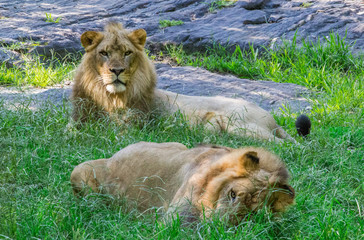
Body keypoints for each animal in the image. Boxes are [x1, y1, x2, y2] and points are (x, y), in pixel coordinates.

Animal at [70, 142, 296, 222]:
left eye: (251, 214)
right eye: (232, 194)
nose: (219, 226)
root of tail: (111, 159)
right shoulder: (174, 221)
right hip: (79, 170)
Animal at [72, 21, 310, 142]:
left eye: (127, 53)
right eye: (104, 53)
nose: (117, 70)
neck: (109, 97)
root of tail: (273, 120)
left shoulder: (133, 127)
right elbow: (74, 131)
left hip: (239, 125)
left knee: (285, 145)